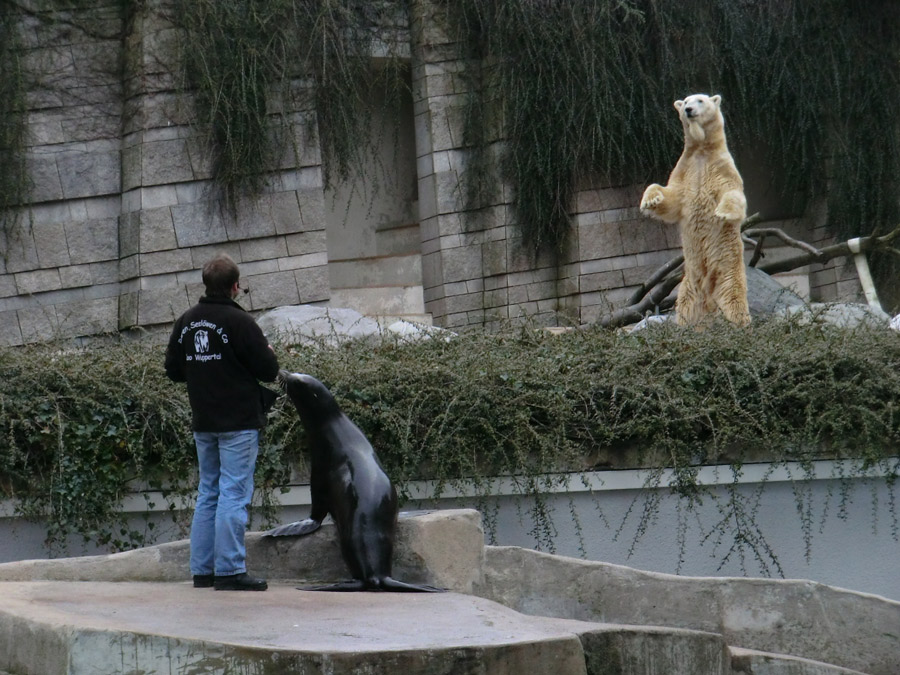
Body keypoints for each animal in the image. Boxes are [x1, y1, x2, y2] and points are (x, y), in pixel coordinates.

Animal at [640, 94, 752, 328]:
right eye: (684, 102)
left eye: (700, 100)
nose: (689, 109)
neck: (702, 150)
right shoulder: (684, 168)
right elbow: (672, 198)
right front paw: (650, 199)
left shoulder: (723, 167)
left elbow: (733, 194)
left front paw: (722, 213)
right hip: (689, 281)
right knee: (686, 306)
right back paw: (687, 326)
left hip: (727, 269)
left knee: (733, 298)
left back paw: (740, 324)